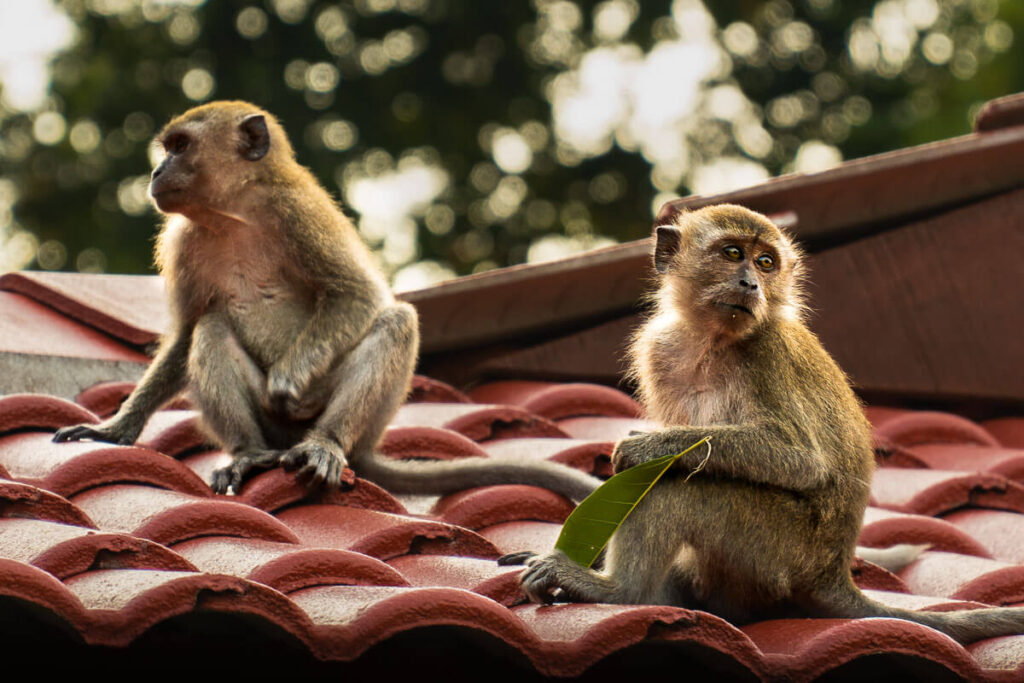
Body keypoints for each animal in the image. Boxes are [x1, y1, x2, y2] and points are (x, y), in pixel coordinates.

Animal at [53, 101, 600, 502]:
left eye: (180, 147)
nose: (156, 172)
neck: (235, 213)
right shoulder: (185, 240)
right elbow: (188, 332)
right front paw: (117, 427)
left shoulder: (298, 213)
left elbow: (355, 294)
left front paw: (286, 380)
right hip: (273, 430)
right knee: (211, 329)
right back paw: (248, 452)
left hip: (350, 416)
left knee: (396, 322)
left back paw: (325, 445)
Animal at [508, 204, 1024, 643]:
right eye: (733, 254)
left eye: (766, 262)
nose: (750, 284)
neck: (711, 340)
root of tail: (833, 573)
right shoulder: (659, 352)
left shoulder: (767, 351)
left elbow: (801, 460)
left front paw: (647, 448)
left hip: (777, 549)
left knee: (677, 486)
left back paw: (620, 591)